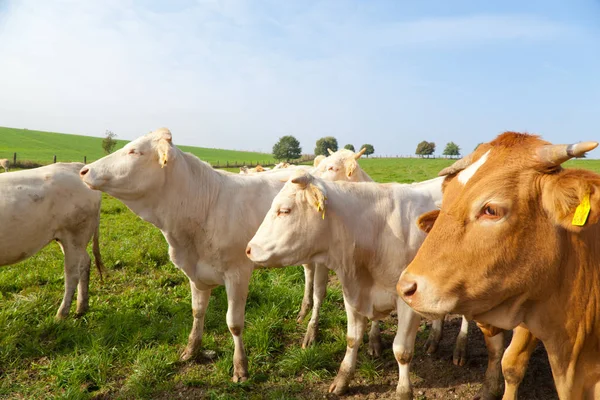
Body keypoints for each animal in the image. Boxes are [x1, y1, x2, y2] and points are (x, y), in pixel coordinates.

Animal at [0, 162, 103, 318]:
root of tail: (75, 166)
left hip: (74, 234)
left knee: (72, 274)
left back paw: (61, 314)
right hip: (72, 239)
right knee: (85, 262)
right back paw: (81, 307)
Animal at [78, 127, 300, 382]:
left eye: (134, 151)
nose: (84, 170)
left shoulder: (238, 272)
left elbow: (234, 323)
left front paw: (241, 367)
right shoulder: (195, 273)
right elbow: (197, 311)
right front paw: (191, 349)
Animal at [398, 133, 600, 398]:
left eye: (491, 210)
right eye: (444, 205)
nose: (405, 288)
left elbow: (512, 363)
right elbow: (496, 352)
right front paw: (489, 388)